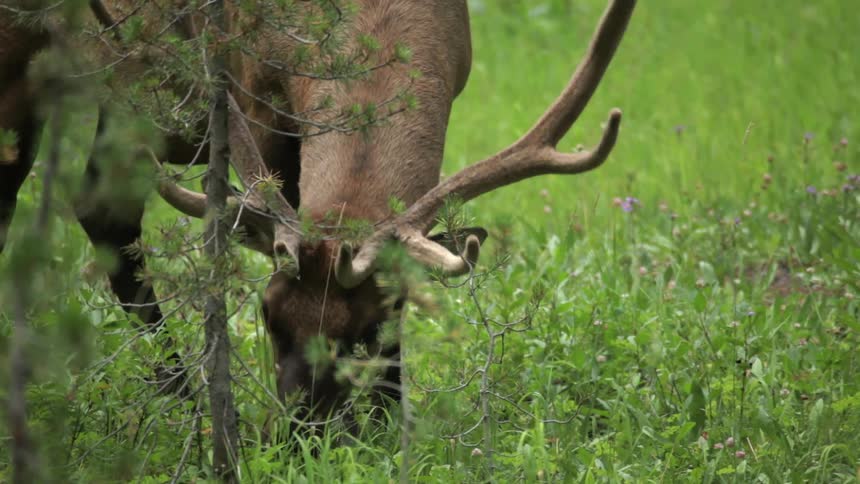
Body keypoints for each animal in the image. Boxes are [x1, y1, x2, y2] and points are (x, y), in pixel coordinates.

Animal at [1, 0, 636, 423]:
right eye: (268, 315)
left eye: (368, 330)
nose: (300, 433)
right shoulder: (252, 89)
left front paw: (389, 420)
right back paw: (185, 402)